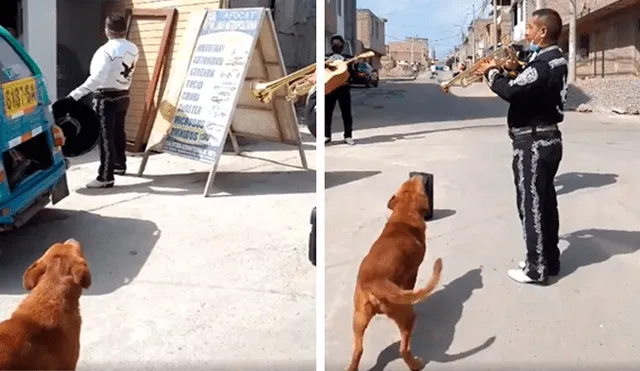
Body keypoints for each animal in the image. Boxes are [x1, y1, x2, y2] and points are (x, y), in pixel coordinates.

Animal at [348, 175, 442, 371]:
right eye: (419, 185)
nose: (417, 175)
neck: (403, 216)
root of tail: (374, 284)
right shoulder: (412, 272)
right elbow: (411, 287)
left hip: (358, 318)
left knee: (358, 350)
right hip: (405, 317)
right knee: (403, 349)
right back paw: (415, 364)